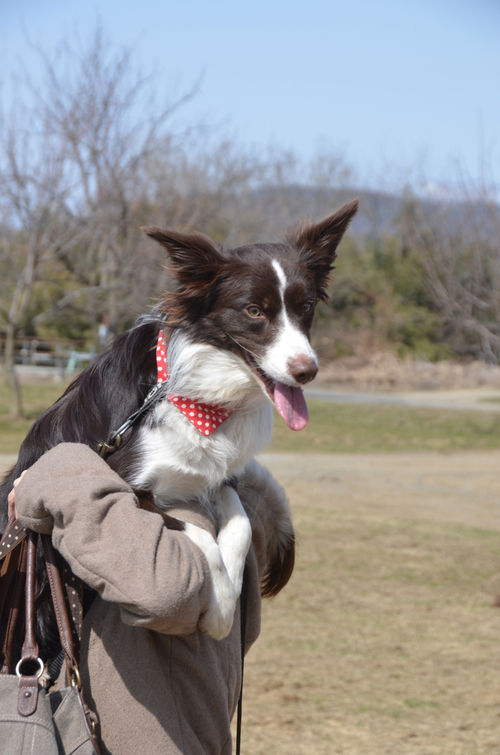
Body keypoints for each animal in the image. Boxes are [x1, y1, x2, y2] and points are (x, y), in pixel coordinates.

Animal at [0, 198, 360, 648]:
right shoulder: (129, 483)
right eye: (254, 310)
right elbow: (193, 529)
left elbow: (240, 525)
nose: (307, 371)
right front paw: (220, 605)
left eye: (305, 307)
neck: (194, 398)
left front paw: (228, 596)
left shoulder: (222, 477)